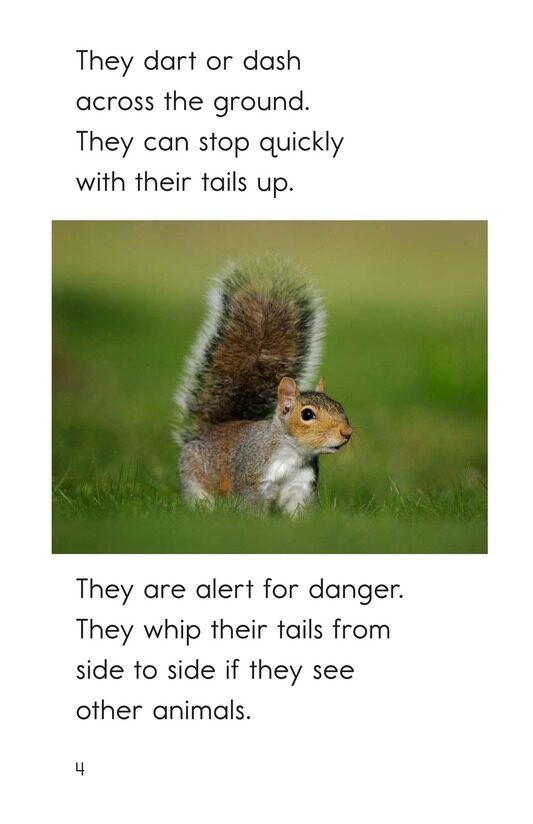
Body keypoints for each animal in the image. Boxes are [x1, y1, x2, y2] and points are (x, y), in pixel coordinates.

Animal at [174, 261, 352, 515]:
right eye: (307, 414)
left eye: (340, 406)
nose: (347, 432)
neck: (292, 456)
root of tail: (206, 432)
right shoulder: (252, 480)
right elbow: (252, 508)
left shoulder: (301, 487)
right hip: (194, 477)